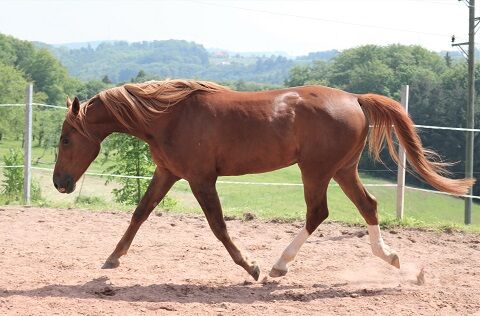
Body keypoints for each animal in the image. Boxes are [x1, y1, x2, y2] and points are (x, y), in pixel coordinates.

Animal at [52, 80, 472, 280]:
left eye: (66, 138)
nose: (60, 183)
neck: (168, 115)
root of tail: (355, 99)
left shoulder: (201, 178)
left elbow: (219, 227)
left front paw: (251, 266)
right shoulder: (167, 173)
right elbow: (140, 213)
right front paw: (112, 258)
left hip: (316, 171)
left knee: (318, 213)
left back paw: (277, 266)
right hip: (342, 170)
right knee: (367, 206)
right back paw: (393, 259)